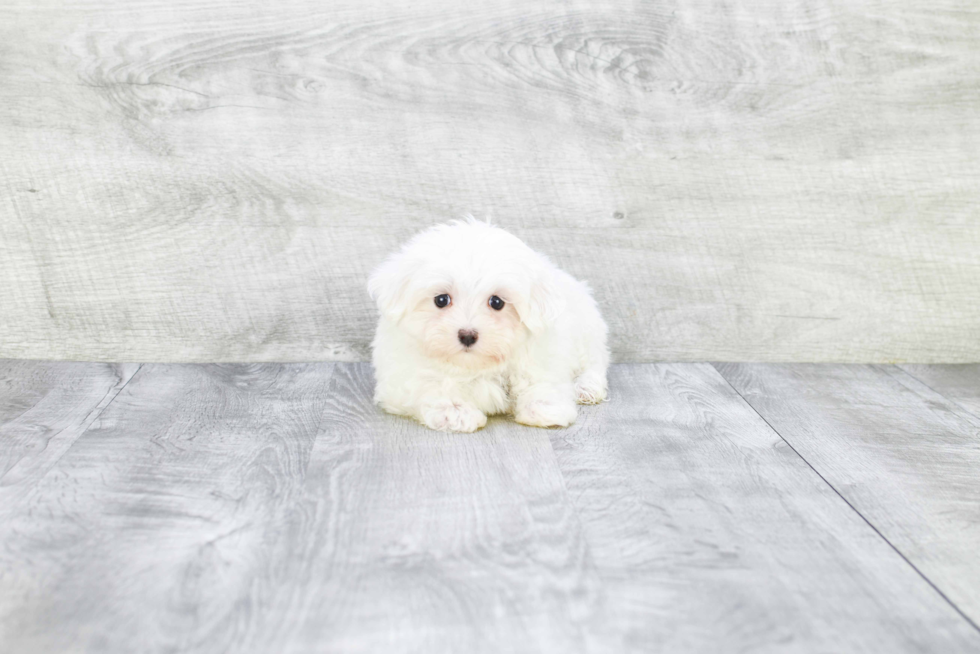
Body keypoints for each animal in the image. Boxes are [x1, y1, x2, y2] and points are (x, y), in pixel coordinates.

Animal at [368, 219, 608, 436]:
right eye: (441, 300)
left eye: (497, 302)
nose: (467, 335)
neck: (473, 367)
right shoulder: (399, 376)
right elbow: (427, 386)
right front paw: (455, 411)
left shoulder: (544, 354)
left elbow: (540, 379)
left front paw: (544, 406)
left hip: (587, 329)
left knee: (594, 362)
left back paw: (586, 387)